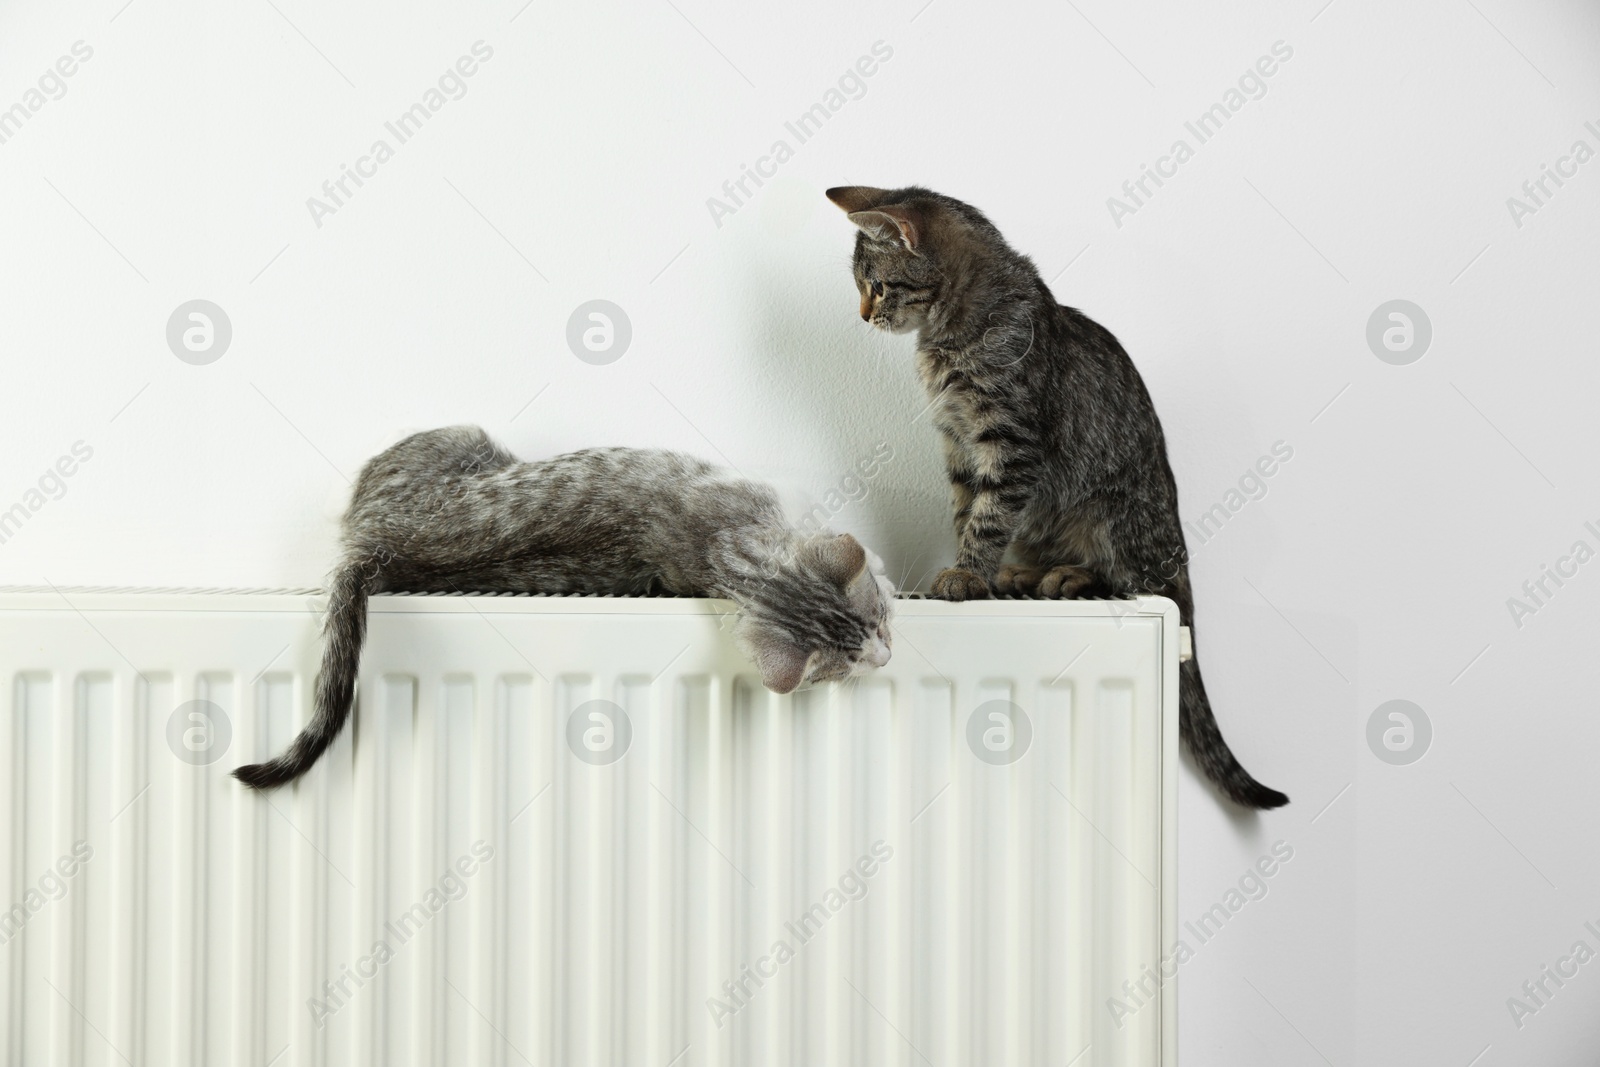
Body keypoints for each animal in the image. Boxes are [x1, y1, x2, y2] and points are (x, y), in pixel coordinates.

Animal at [233, 428, 896, 793]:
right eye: (853, 660)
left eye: (877, 634)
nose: (886, 658)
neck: (721, 553)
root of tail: (376, 549)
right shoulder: (756, 487)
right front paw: (881, 563)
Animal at [825, 187, 1286, 812]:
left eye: (876, 284)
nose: (862, 314)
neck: (952, 337)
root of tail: (1178, 562)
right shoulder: (959, 445)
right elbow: (966, 511)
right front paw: (977, 573)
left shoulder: (1011, 444)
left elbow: (988, 517)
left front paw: (967, 574)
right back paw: (1021, 574)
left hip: (1118, 517)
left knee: (1121, 577)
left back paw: (1067, 576)